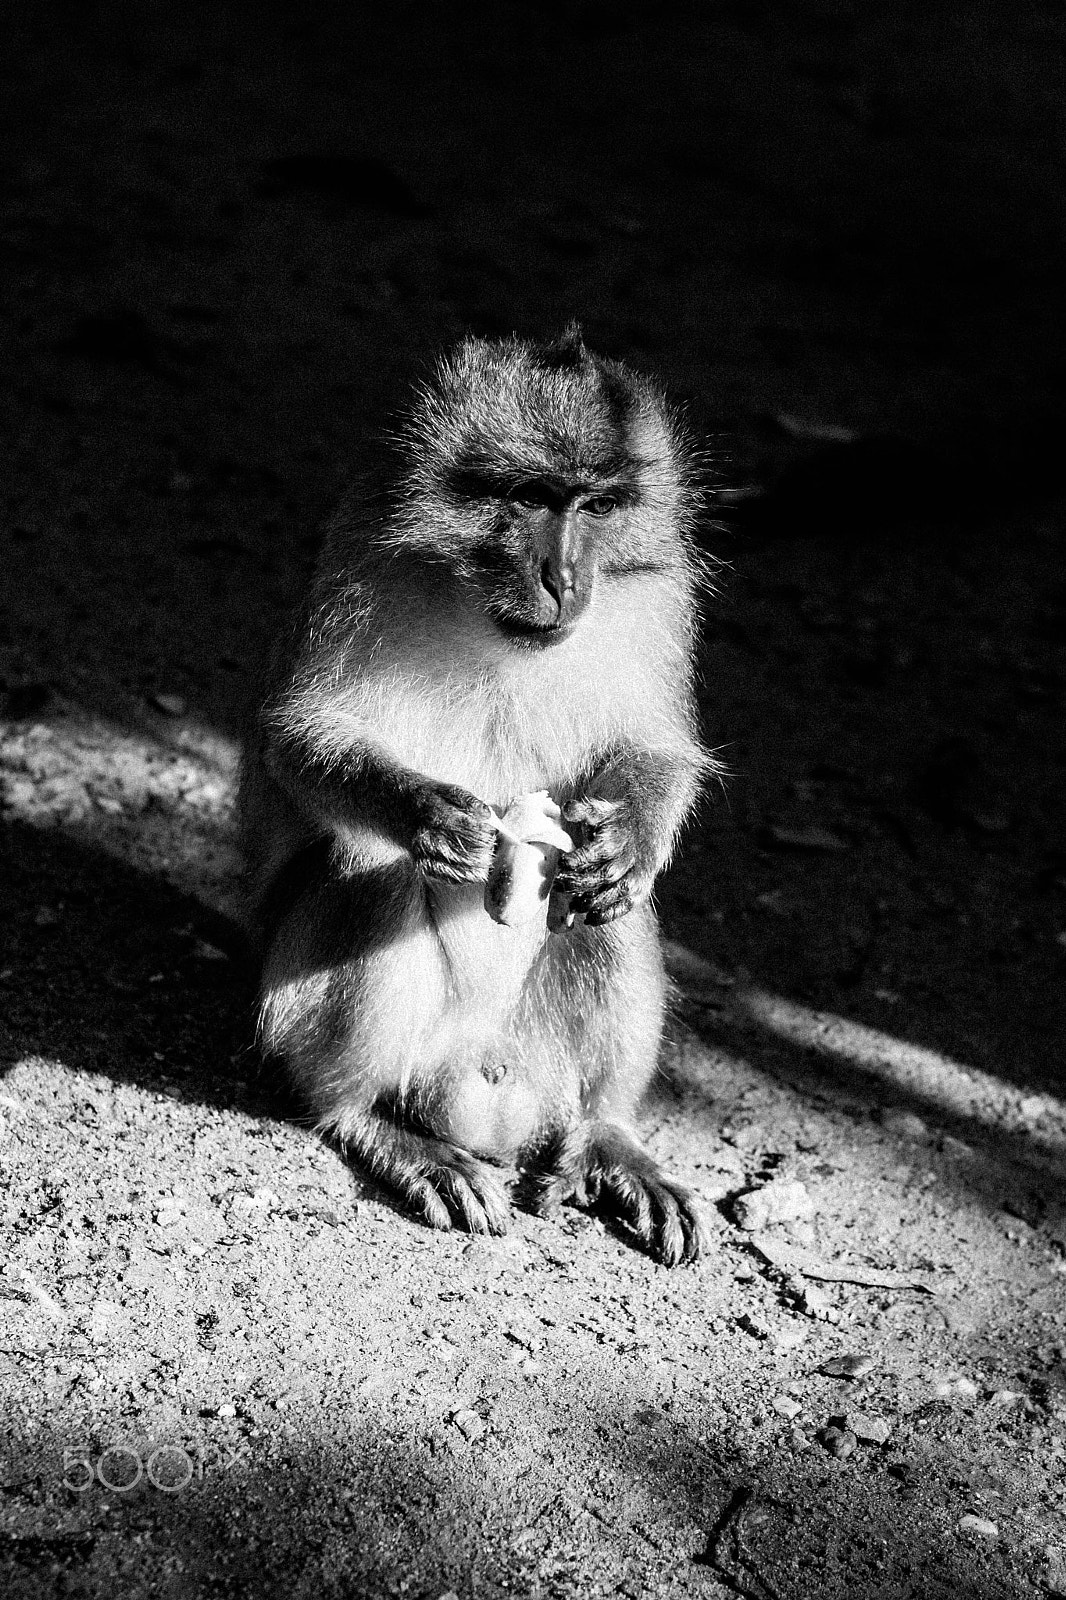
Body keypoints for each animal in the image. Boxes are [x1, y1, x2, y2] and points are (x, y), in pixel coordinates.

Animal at [239, 325, 713, 1266]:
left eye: (596, 507)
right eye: (531, 496)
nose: (566, 577)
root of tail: (485, 1089)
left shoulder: (654, 598)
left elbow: (654, 753)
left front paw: (634, 834)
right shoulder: (359, 564)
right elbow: (301, 741)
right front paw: (426, 813)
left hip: (537, 1059)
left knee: (606, 907)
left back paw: (607, 1134)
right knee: (371, 871)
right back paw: (368, 1119)